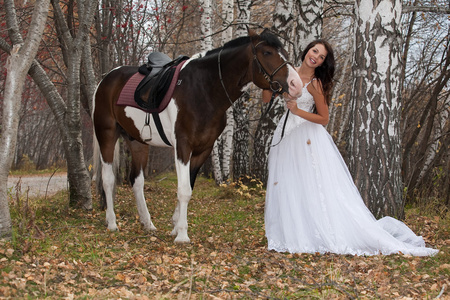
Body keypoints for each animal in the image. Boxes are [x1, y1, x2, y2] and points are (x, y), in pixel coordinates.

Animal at [92, 29, 300, 243]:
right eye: (267, 52)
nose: (296, 84)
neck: (204, 89)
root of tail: (105, 80)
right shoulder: (183, 146)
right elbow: (184, 190)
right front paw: (182, 234)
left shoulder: (203, 149)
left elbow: (189, 186)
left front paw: (175, 226)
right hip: (106, 134)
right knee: (107, 179)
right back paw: (112, 223)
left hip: (138, 141)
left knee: (137, 181)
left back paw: (147, 223)